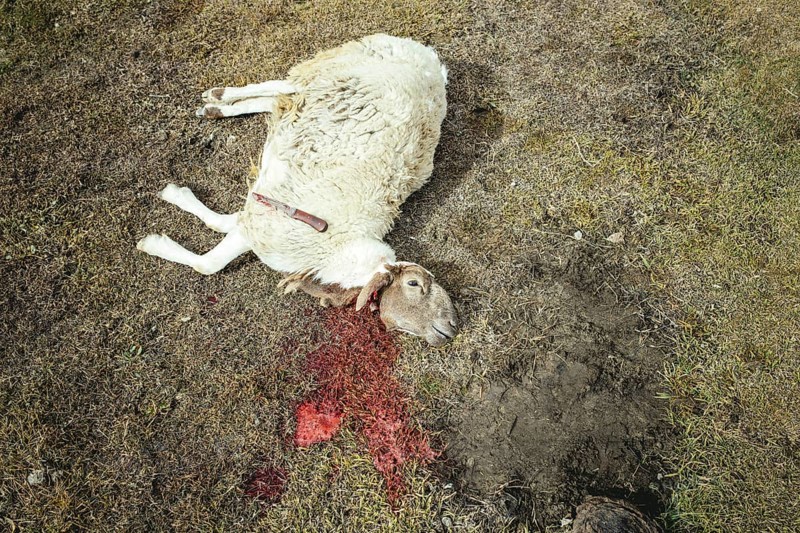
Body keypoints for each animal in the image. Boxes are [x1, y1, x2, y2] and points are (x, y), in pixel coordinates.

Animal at [137, 34, 458, 346]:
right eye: (414, 283)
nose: (451, 327)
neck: (336, 249)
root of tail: (429, 57)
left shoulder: (262, 215)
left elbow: (221, 225)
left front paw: (175, 197)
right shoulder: (265, 224)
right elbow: (209, 264)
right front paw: (154, 242)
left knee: (280, 99)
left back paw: (216, 108)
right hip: (336, 66)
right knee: (280, 85)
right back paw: (219, 97)